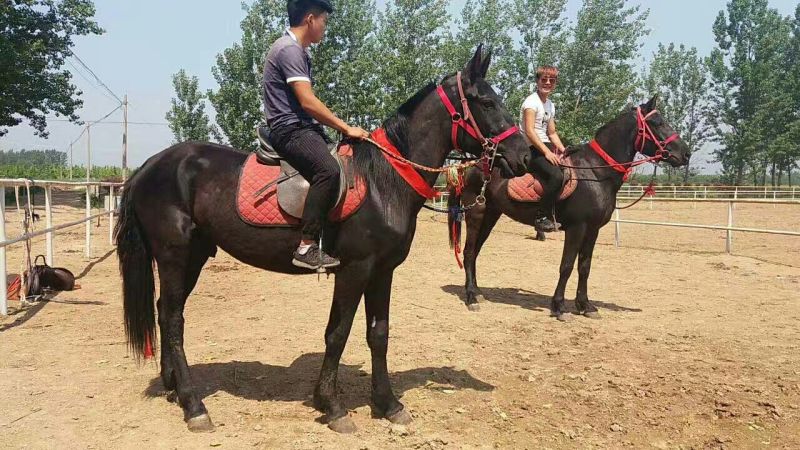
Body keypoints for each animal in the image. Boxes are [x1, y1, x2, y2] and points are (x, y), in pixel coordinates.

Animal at [114, 47, 530, 433]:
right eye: (487, 102)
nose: (524, 155)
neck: (383, 180)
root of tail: (149, 166)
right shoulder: (354, 269)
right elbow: (338, 333)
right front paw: (331, 405)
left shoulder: (383, 271)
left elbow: (378, 334)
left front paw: (388, 404)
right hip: (174, 255)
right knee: (172, 319)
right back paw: (194, 405)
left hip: (194, 256)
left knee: (165, 312)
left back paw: (173, 386)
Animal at [448, 96, 691, 319]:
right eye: (658, 123)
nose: (686, 154)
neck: (596, 173)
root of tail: (469, 164)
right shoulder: (577, 227)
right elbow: (566, 266)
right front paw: (559, 307)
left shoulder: (593, 229)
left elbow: (584, 266)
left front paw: (585, 306)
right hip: (476, 213)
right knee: (469, 251)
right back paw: (471, 297)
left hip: (492, 214)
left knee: (476, 251)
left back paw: (478, 292)